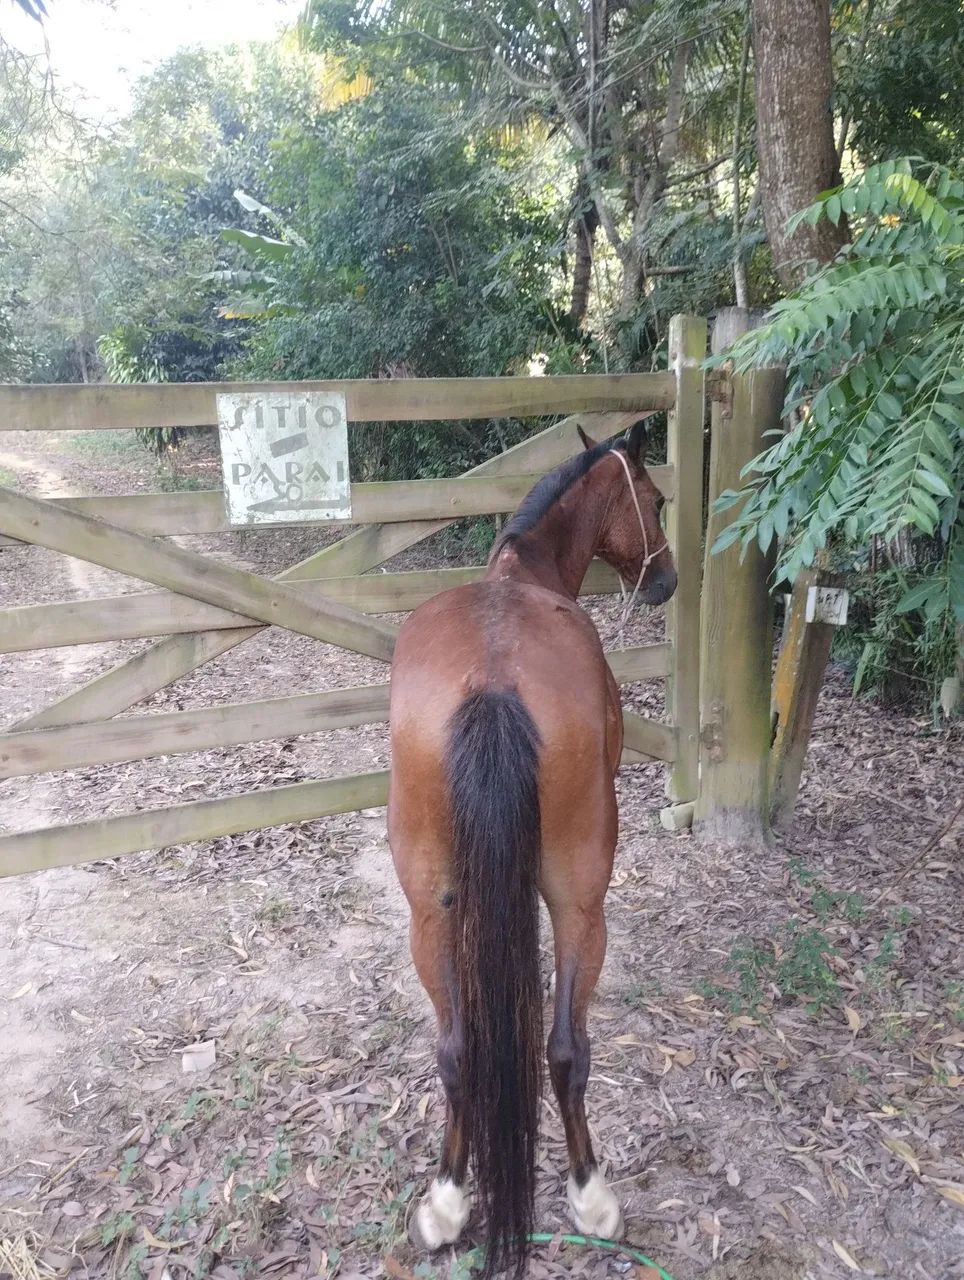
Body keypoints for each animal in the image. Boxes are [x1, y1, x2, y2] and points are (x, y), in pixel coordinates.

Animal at [387, 419, 677, 1277]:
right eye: (655, 499)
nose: (665, 579)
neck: (526, 568)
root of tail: (493, 683)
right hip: (582, 899)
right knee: (565, 1049)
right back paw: (591, 1194)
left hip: (431, 909)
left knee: (456, 1050)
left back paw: (447, 1203)